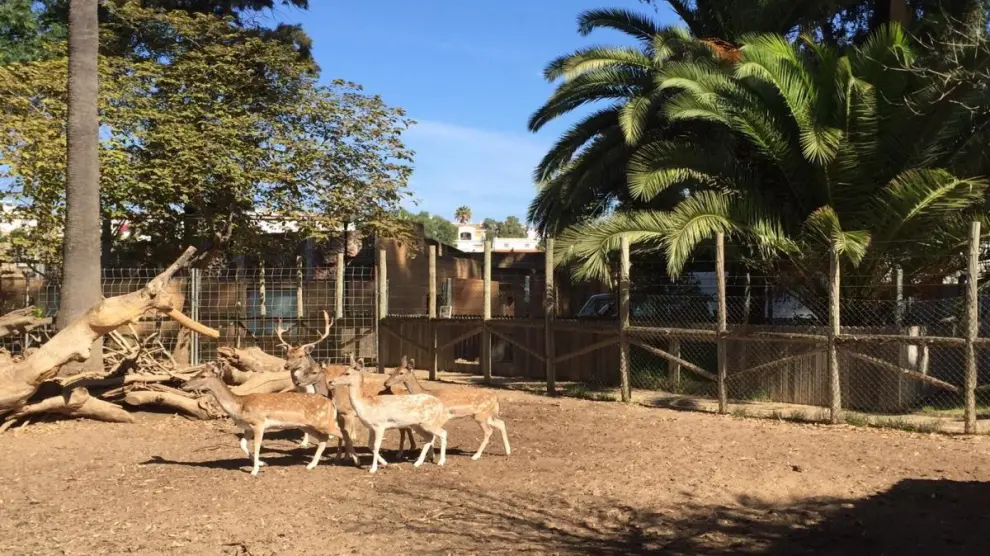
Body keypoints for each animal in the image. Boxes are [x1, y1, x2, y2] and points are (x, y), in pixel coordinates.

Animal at [181, 364, 341, 476]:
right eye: (197, 373)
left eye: (203, 375)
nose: (183, 384)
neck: (239, 407)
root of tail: (330, 403)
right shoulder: (247, 428)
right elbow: (242, 444)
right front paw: (262, 463)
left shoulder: (259, 423)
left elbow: (257, 446)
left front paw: (254, 471)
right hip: (307, 425)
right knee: (324, 439)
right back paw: (311, 465)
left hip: (324, 422)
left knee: (342, 433)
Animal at [277, 313, 416, 463]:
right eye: (287, 355)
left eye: (301, 356)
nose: (298, 381)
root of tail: (404, 390)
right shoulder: (340, 415)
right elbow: (342, 435)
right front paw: (340, 457)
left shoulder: (348, 413)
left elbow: (347, 436)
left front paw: (351, 458)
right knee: (405, 427)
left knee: (405, 428)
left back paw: (404, 451)